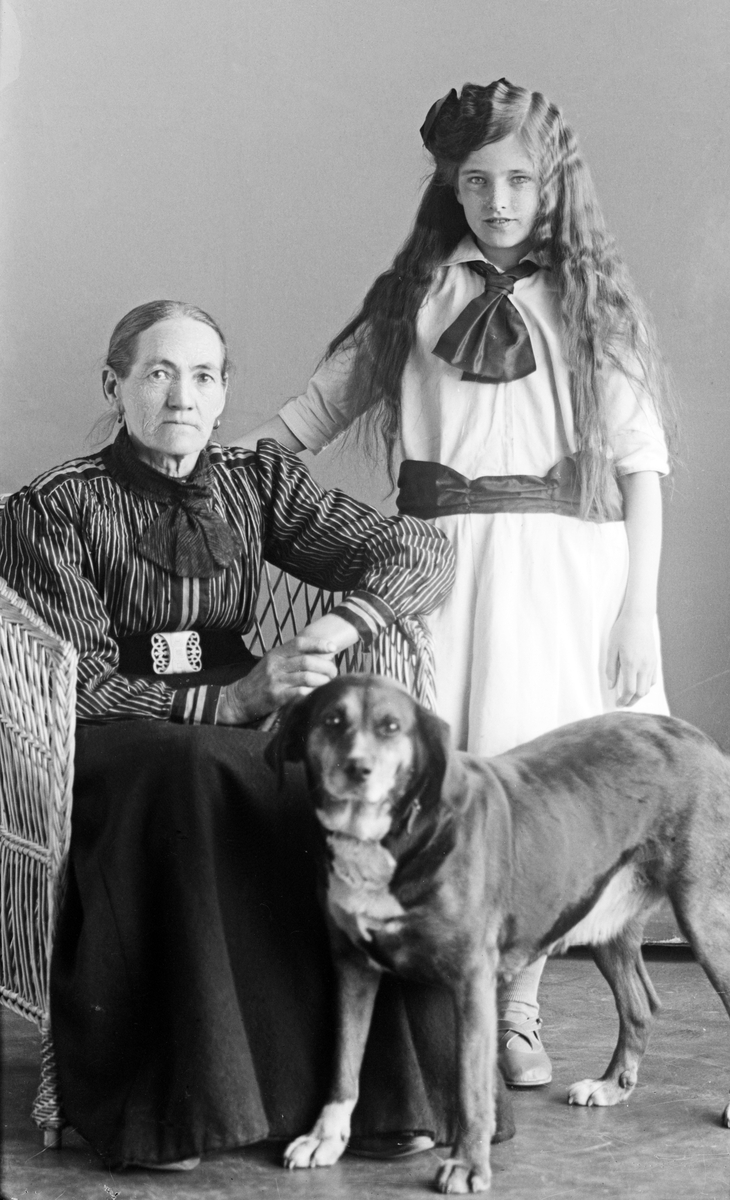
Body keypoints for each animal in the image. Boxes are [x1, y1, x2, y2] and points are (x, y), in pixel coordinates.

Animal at [266, 674, 730, 1194]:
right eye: (331, 720)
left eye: (391, 726)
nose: (357, 770)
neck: (394, 838)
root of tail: (703, 740)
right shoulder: (352, 967)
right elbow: (343, 1066)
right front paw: (325, 1137)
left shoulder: (471, 982)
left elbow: (470, 1089)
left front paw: (469, 1163)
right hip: (602, 922)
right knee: (639, 1006)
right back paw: (612, 1085)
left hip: (704, 916)